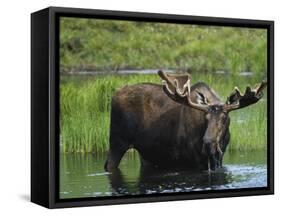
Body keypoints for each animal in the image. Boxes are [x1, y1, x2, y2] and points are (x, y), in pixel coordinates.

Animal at [104, 71, 266, 171]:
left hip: (146, 153)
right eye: (205, 118)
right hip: (117, 142)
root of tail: (114, 95)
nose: (208, 144)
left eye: (225, 118)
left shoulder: (219, 158)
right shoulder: (191, 160)